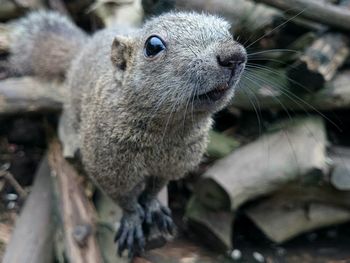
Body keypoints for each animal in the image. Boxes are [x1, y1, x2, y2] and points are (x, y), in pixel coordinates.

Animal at [2, 10, 246, 258]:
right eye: (153, 46)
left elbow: (155, 188)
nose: (234, 55)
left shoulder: (173, 163)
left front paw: (152, 206)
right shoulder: (108, 165)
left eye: (229, 31)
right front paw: (132, 219)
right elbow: (123, 197)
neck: (167, 129)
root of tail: (85, 47)